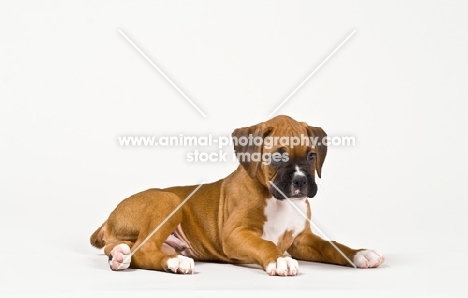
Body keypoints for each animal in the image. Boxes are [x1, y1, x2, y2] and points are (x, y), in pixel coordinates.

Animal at [89, 115, 382, 276]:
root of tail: (108, 218)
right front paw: (279, 259)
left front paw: (359, 254)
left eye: (311, 156)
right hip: (169, 201)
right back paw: (175, 262)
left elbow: (331, 245)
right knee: (145, 249)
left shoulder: (302, 240)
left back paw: (120, 256)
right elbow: (265, 245)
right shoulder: (235, 235)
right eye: (278, 156)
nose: (300, 181)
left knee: (125, 249)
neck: (278, 201)